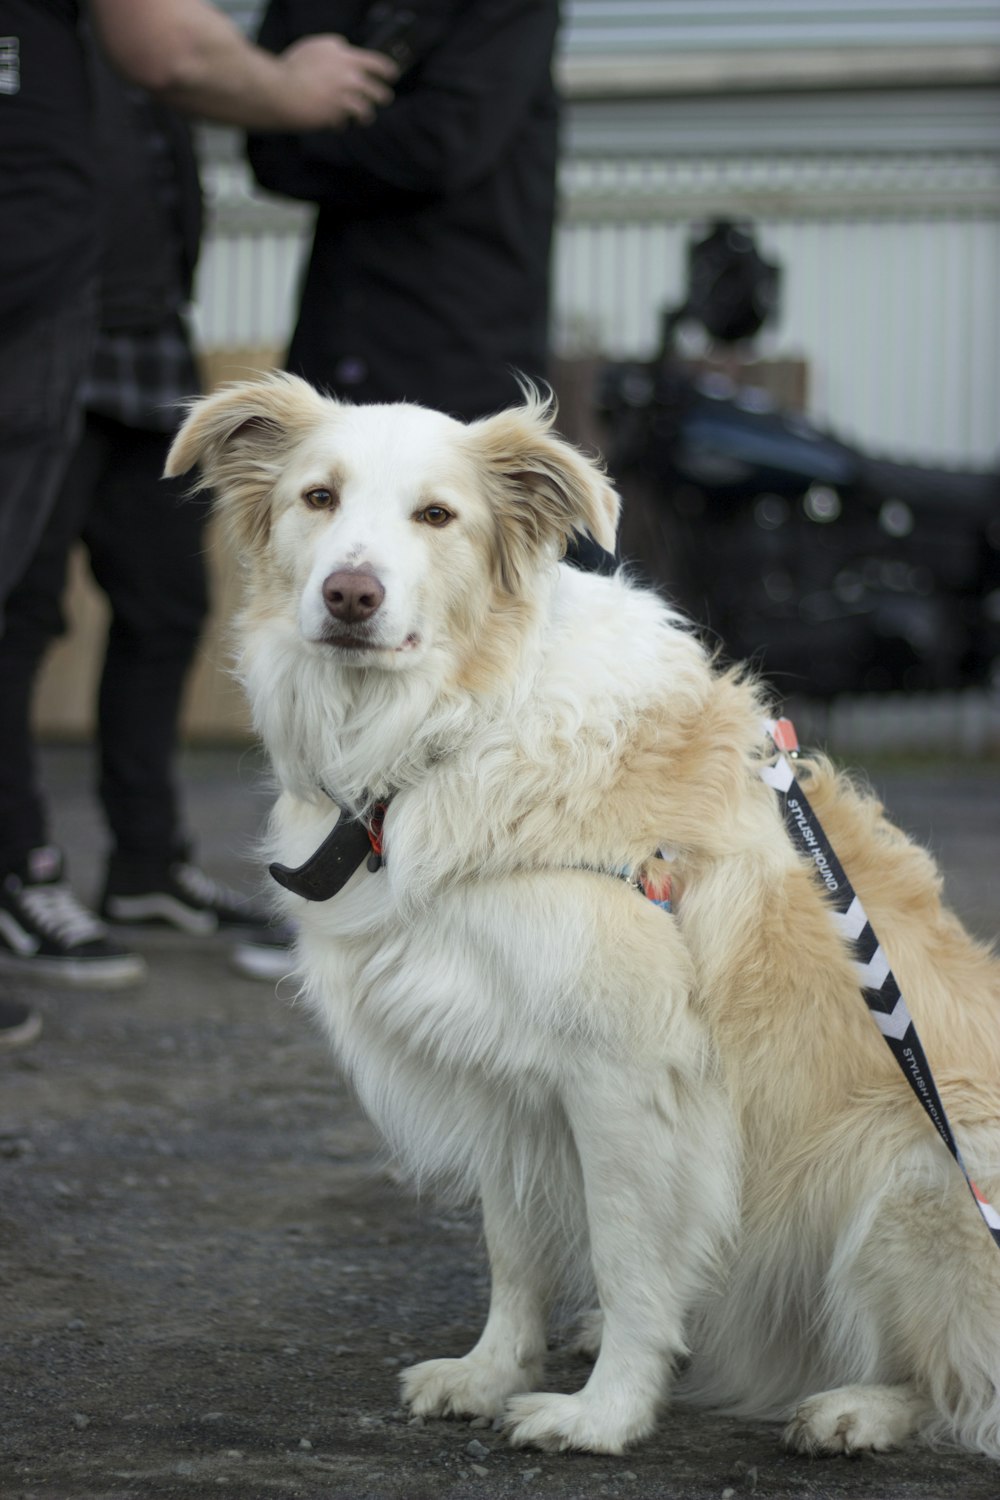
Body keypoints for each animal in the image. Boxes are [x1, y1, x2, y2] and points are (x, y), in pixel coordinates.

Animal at [167, 378, 1000, 1464]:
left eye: (437, 516)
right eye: (318, 497)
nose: (351, 595)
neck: (449, 726)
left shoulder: (627, 1075)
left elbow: (629, 1255)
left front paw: (604, 1415)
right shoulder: (500, 1066)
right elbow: (514, 1248)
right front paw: (491, 1374)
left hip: (917, 1170)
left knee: (958, 1379)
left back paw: (854, 1409)